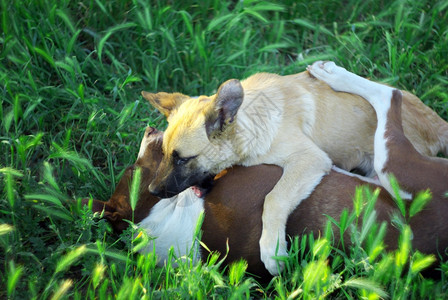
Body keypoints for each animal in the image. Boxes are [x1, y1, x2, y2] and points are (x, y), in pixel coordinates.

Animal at [142, 69, 448, 274]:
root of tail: (437, 122)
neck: (251, 121)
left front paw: (272, 250)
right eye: (165, 153)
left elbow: (274, 199)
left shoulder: (309, 159)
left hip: (391, 162)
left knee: (389, 95)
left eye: (183, 159)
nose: (151, 191)